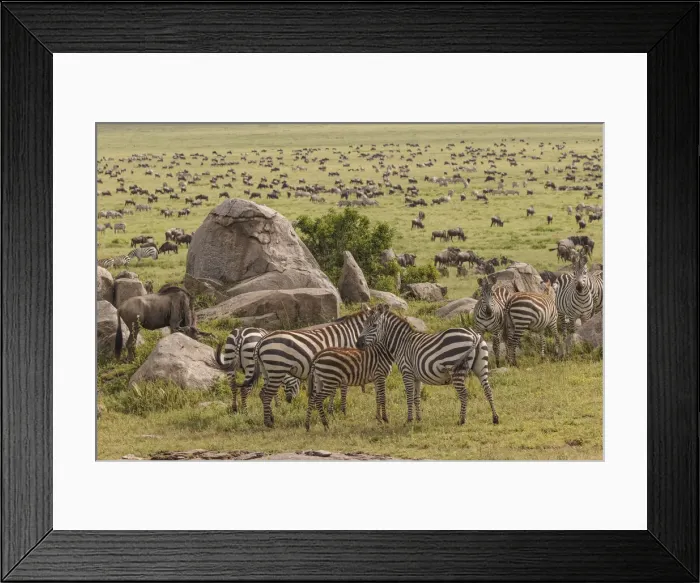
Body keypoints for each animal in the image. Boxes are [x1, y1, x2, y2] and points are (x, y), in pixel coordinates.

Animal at [243, 306, 373, 427]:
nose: (360, 344)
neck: (351, 334)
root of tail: (261, 340)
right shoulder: (342, 366)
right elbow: (342, 390)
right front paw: (342, 411)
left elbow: (333, 391)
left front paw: (330, 411)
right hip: (277, 369)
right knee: (266, 395)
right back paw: (268, 423)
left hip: (266, 371)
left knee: (262, 393)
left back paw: (271, 418)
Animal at [356, 304, 499, 426]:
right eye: (364, 325)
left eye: (374, 325)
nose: (358, 344)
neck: (401, 343)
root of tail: (474, 335)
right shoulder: (417, 377)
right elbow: (417, 397)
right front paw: (419, 418)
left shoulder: (407, 372)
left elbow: (409, 396)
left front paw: (409, 419)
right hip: (481, 367)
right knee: (488, 390)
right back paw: (495, 418)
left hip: (456, 369)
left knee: (464, 394)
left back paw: (461, 420)